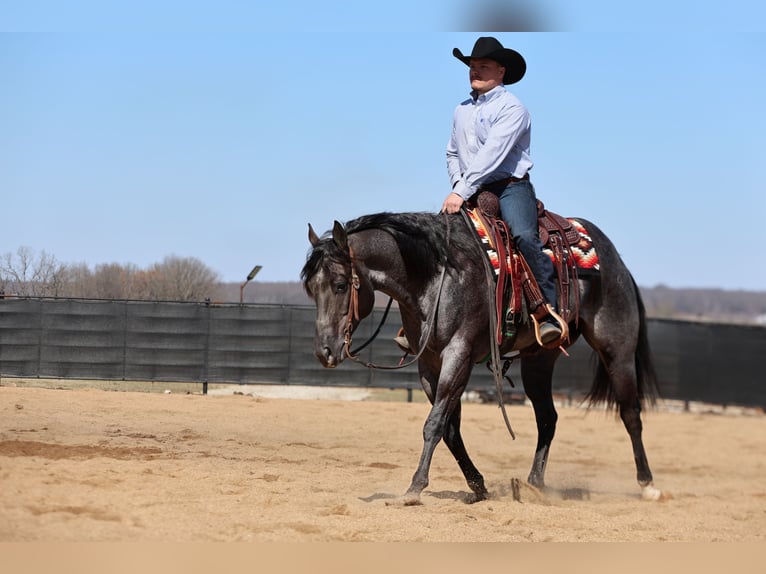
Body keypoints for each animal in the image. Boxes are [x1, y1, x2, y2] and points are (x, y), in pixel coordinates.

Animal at [304, 210, 664, 504]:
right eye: (310, 288)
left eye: (340, 284)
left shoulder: (459, 355)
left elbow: (434, 424)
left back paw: (648, 485)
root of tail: (614, 258)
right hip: (539, 360)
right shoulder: (429, 363)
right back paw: (534, 484)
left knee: (630, 413)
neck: (438, 276)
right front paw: (478, 486)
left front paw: (414, 488)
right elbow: (450, 429)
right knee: (548, 417)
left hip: (617, 351)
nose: (325, 351)